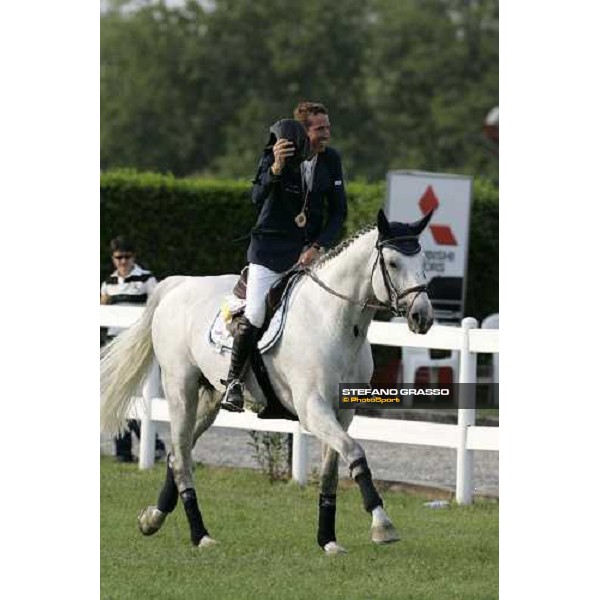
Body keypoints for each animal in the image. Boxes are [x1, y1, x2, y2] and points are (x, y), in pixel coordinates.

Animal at [101, 210, 434, 552]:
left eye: (424, 261)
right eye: (392, 263)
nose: (422, 317)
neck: (333, 320)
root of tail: (180, 284)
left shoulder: (343, 411)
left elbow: (331, 471)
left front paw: (328, 540)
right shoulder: (313, 408)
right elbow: (354, 452)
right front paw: (382, 525)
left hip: (209, 399)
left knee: (177, 454)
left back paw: (152, 518)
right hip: (181, 388)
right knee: (180, 457)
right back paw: (200, 535)